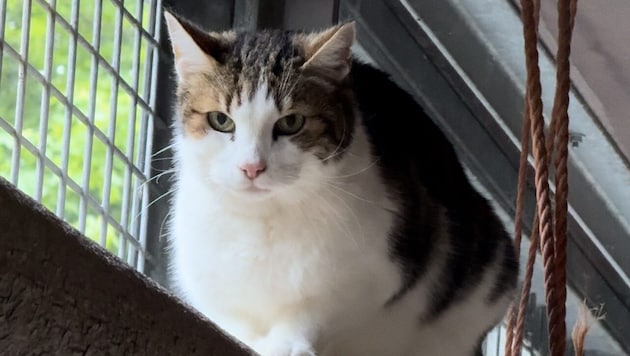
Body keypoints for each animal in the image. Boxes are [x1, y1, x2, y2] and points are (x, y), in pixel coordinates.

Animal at [163, 9, 520, 356]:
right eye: (220, 120)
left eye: (291, 122)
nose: (252, 167)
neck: (263, 220)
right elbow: (232, 318)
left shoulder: (374, 275)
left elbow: (315, 310)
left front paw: (287, 343)